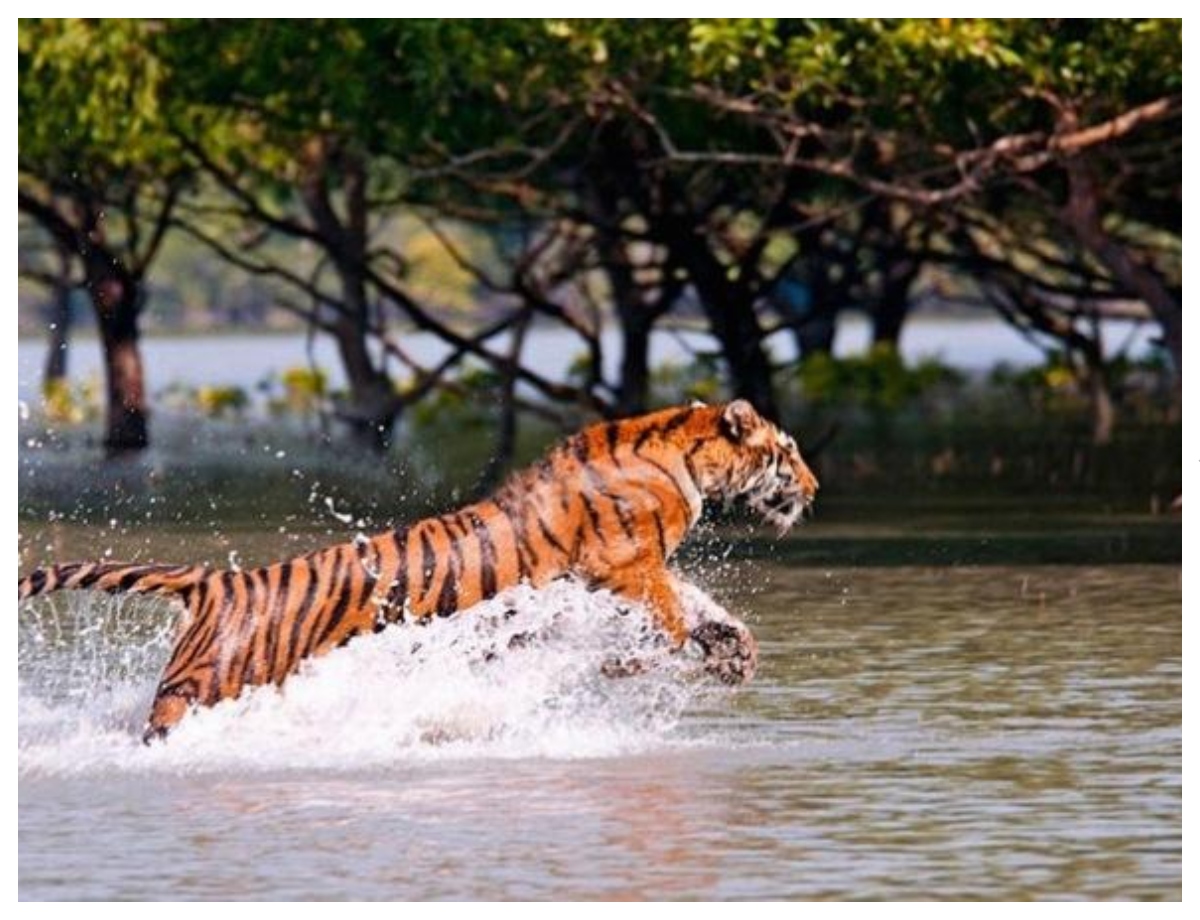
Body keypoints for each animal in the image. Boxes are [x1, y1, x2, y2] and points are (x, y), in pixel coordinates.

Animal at [19, 399, 819, 741]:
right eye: (788, 450)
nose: (812, 488)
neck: (686, 452)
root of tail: (218, 582)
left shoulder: (624, 572)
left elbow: (701, 607)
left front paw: (734, 653)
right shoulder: (623, 564)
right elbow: (672, 618)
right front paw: (651, 661)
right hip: (203, 689)